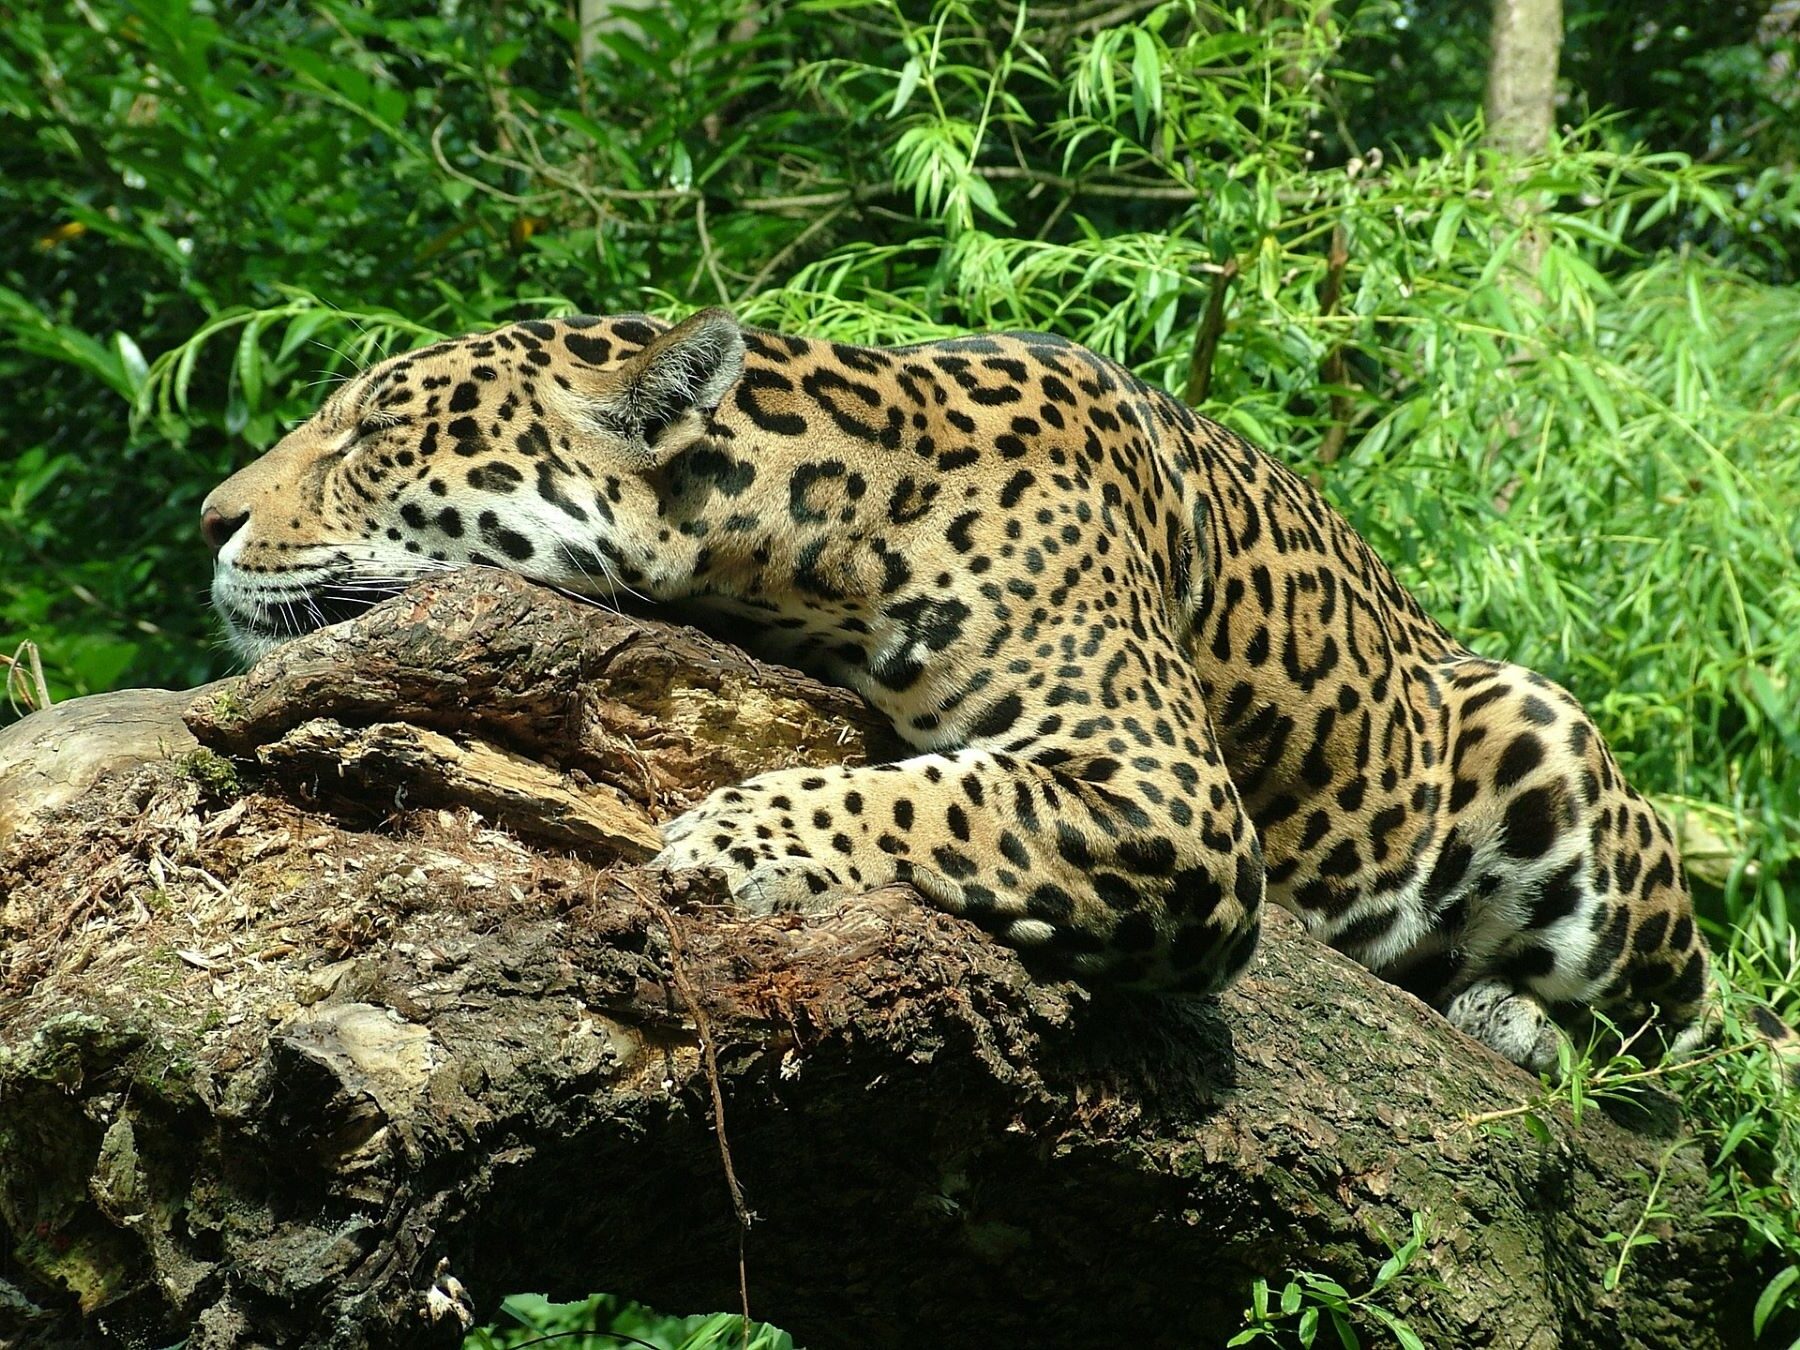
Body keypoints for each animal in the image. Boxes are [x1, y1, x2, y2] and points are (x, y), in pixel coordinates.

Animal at [199, 306, 1775, 1077]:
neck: (813, 522)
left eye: (375, 433)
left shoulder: (1171, 792)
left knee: (1702, 1044)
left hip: (1548, 759)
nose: (210, 517)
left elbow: (951, 795)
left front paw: (735, 837)